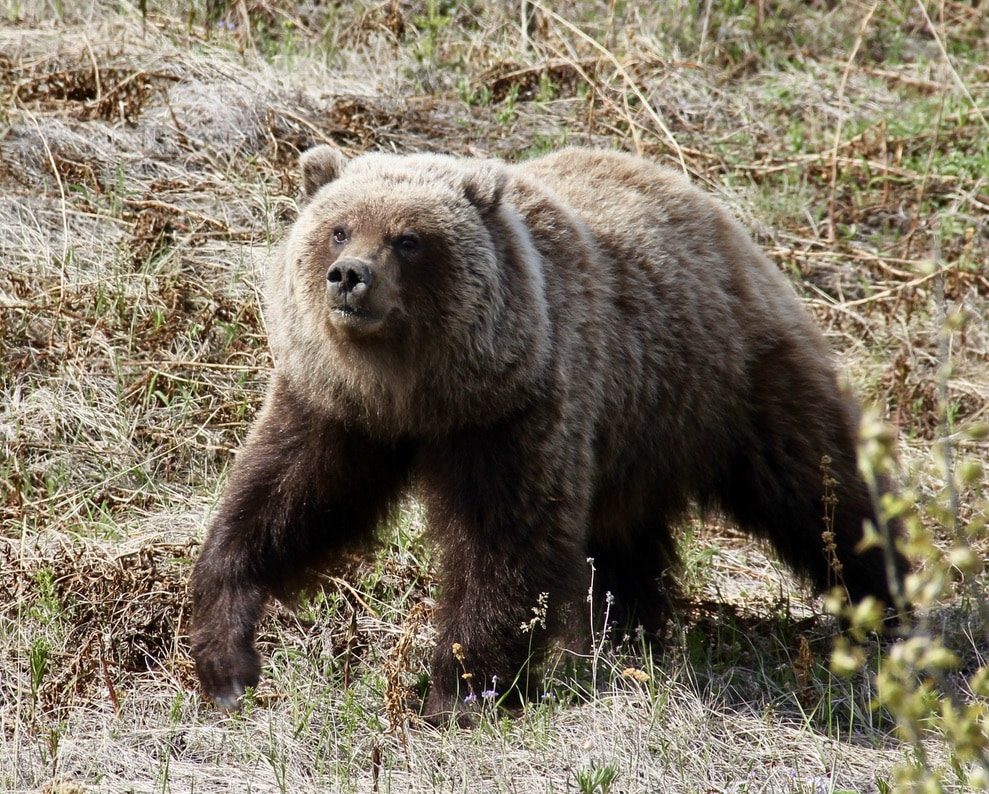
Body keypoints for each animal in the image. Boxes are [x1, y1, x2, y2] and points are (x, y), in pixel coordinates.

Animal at [189, 145, 907, 721]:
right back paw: (629, 636)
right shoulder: (335, 407)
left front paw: (459, 690)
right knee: (623, 543)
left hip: (729, 383)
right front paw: (227, 659)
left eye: (408, 238)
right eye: (338, 229)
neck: (416, 394)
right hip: (635, 433)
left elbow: (505, 545)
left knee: (820, 493)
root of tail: (715, 212)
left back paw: (890, 601)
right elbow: (285, 501)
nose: (349, 277)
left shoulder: (515, 410)